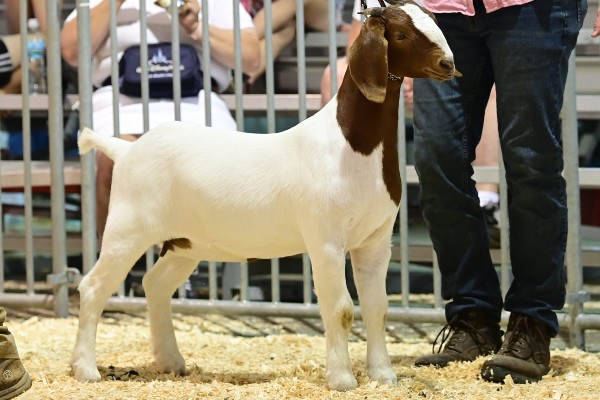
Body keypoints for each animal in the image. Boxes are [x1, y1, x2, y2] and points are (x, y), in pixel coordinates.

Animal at [74, 1, 460, 390]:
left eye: (435, 21)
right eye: (402, 34)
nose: (448, 64)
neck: (353, 147)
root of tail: (124, 150)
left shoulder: (376, 240)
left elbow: (377, 309)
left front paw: (384, 376)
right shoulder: (326, 240)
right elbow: (341, 310)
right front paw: (342, 380)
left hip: (186, 243)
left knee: (155, 285)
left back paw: (171, 361)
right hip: (128, 228)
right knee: (93, 286)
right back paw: (86, 369)